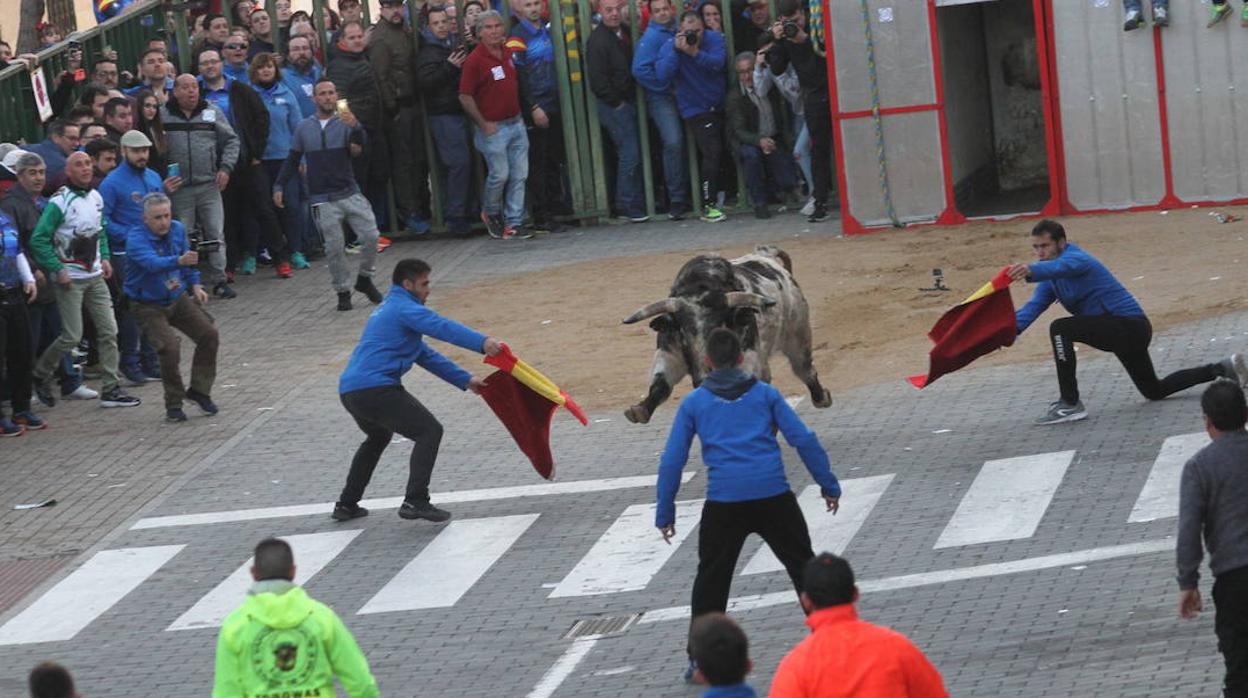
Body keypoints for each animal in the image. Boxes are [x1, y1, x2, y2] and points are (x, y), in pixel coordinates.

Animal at [621, 247, 828, 419]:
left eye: (719, 327)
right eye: (683, 331)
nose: (704, 376)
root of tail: (766, 255)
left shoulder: (748, 355)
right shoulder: (669, 352)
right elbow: (660, 382)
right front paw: (639, 411)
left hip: (798, 335)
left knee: (804, 369)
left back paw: (822, 397)